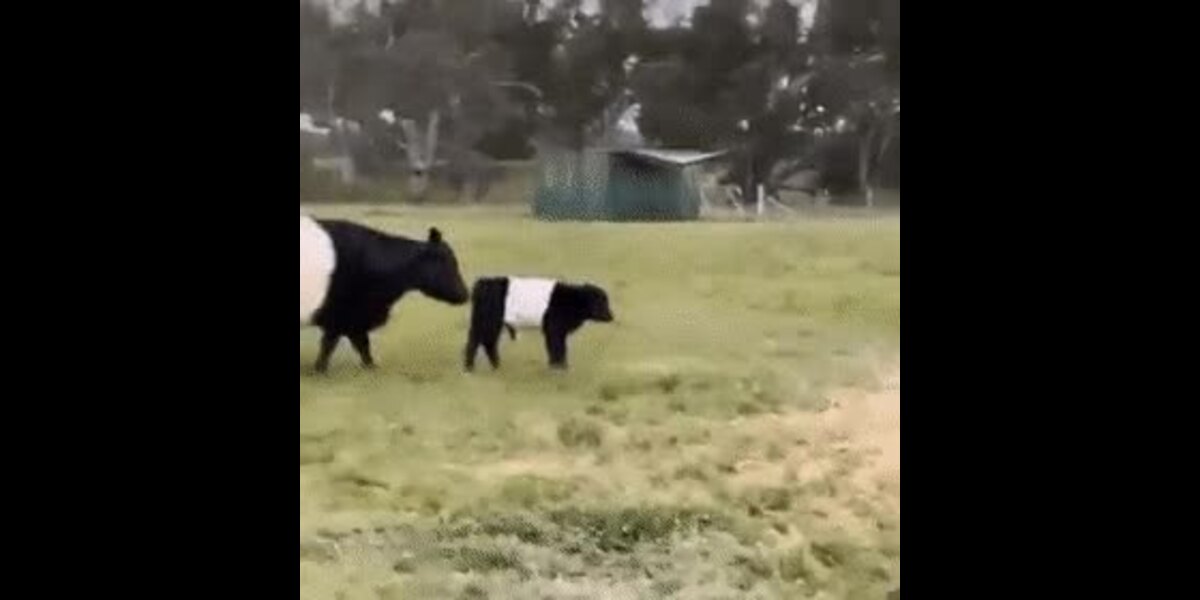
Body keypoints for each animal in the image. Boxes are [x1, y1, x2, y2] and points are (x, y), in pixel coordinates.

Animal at [300, 213, 470, 373]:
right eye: (448, 262)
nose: (465, 294)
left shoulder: (355, 318)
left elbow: (362, 345)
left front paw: (371, 368)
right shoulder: (342, 315)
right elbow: (330, 345)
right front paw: (320, 370)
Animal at [464, 277, 614, 371]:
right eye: (600, 300)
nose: (611, 316)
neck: (572, 299)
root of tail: (484, 282)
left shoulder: (557, 331)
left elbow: (559, 348)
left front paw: (559, 366)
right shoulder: (555, 330)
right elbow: (558, 348)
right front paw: (559, 368)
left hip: (489, 323)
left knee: (487, 343)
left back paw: (496, 366)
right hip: (487, 322)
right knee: (477, 342)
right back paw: (470, 368)